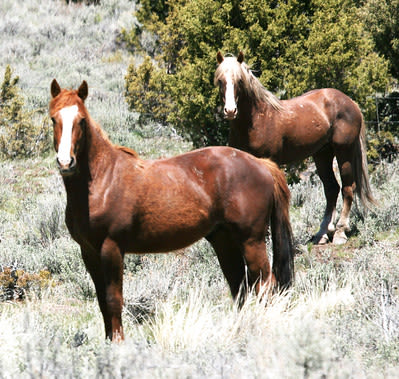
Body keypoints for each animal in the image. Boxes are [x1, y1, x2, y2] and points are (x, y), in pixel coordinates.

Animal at [49, 79, 294, 342]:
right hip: (224, 240)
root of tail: (262, 164)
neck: (102, 180)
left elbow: (114, 299)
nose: (66, 162)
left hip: (252, 240)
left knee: (264, 284)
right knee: (240, 287)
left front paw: (118, 343)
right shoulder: (89, 252)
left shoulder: (111, 248)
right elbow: (102, 301)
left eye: (81, 120)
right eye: (53, 119)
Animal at [216, 52, 376, 245]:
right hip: (322, 154)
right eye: (220, 80)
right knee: (331, 189)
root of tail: (350, 101)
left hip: (343, 151)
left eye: (239, 80)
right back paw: (322, 234)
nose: (230, 110)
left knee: (347, 188)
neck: (256, 120)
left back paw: (340, 232)